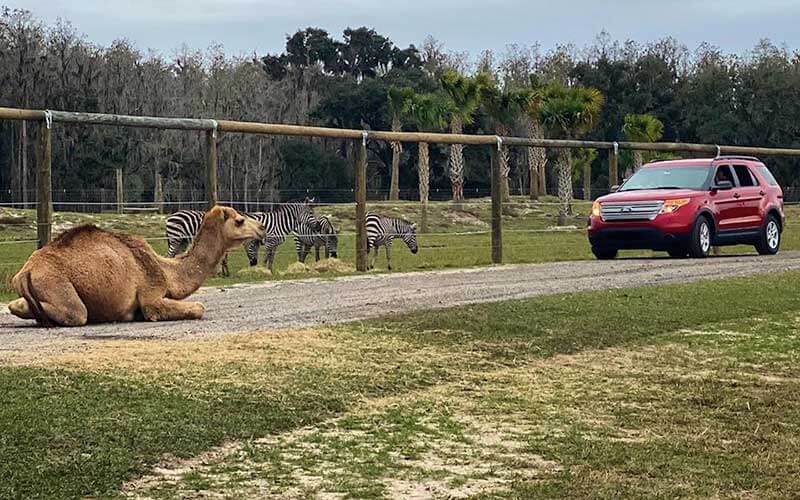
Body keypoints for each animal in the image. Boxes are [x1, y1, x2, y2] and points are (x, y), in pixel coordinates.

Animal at [7, 205, 264, 326]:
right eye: (240, 220)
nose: (261, 229)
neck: (166, 271)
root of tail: (24, 272)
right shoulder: (151, 296)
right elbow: (198, 307)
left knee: (17, 304)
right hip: (57, 285)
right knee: (76, 313)